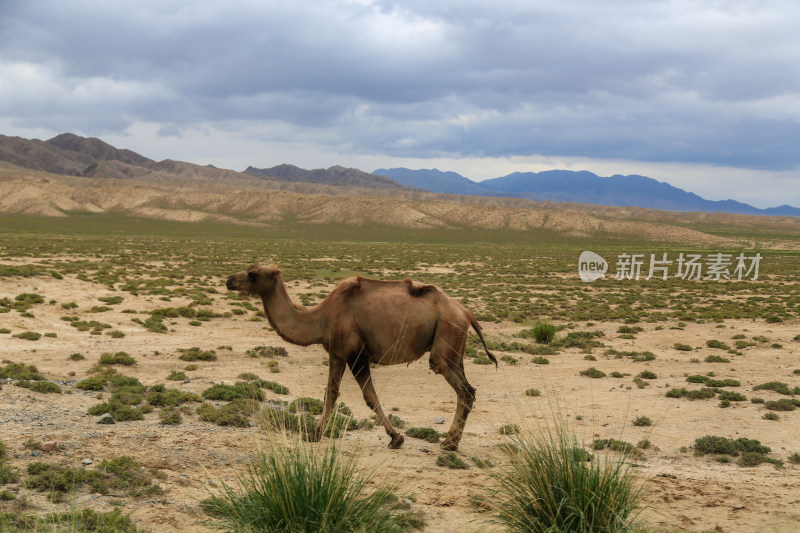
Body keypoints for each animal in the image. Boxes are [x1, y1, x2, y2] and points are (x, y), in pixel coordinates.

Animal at [225, 262, 496, 448]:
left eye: (253, 274)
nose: (229, 280)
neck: (321, 319)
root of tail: (466, 312)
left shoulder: (353, 354)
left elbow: (363, 397)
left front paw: (395, 437)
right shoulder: (341, 354)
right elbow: (336, 393)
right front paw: (315, 434)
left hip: (446, 341)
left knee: (463, 390)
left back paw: (450, 443)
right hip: (454, 348)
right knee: (468, 390)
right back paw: (451, 441)